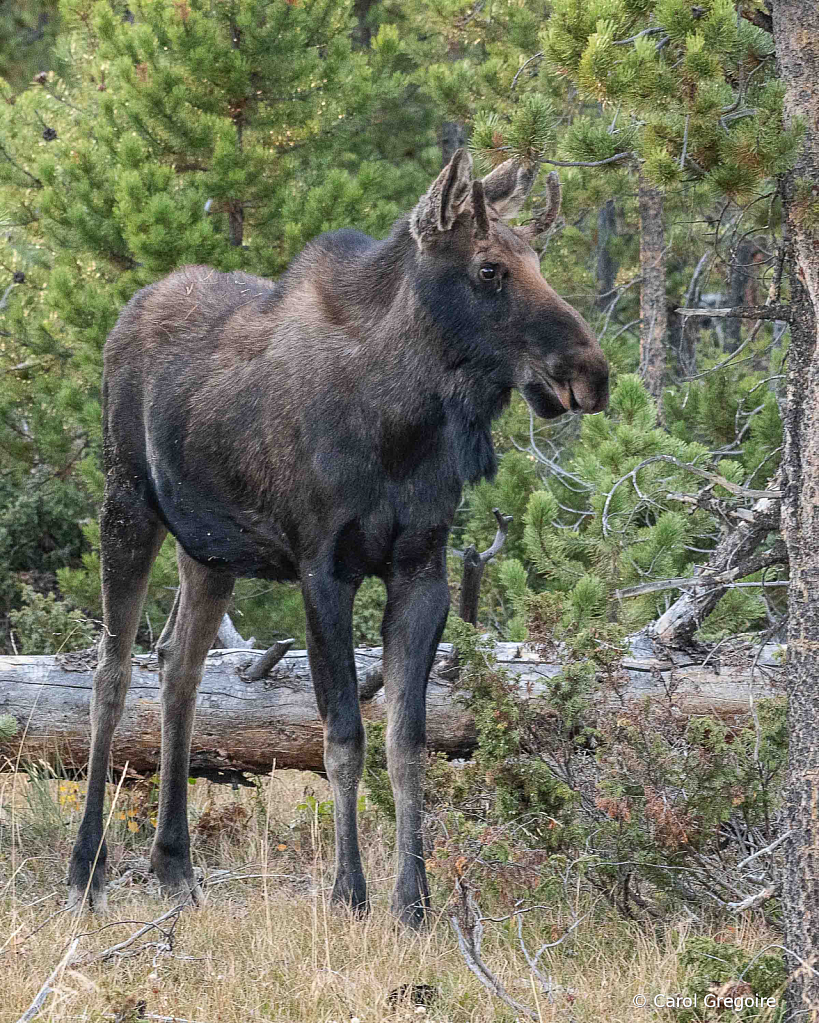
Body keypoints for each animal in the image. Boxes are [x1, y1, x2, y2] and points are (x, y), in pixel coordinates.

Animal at [68, 149, 605, 928]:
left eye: (538, 258)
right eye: (489, 269)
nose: (591, 372)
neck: (402, 423)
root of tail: (124, 318)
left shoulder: (421, 571)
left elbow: (406, 741)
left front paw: (414, 901)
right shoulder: (323, 567)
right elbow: (344, 737)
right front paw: (349, 892)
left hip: (208, 550)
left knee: (177, 668)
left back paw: (175, 867)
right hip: (127, 502)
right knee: (111, 673)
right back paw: (87, 868)